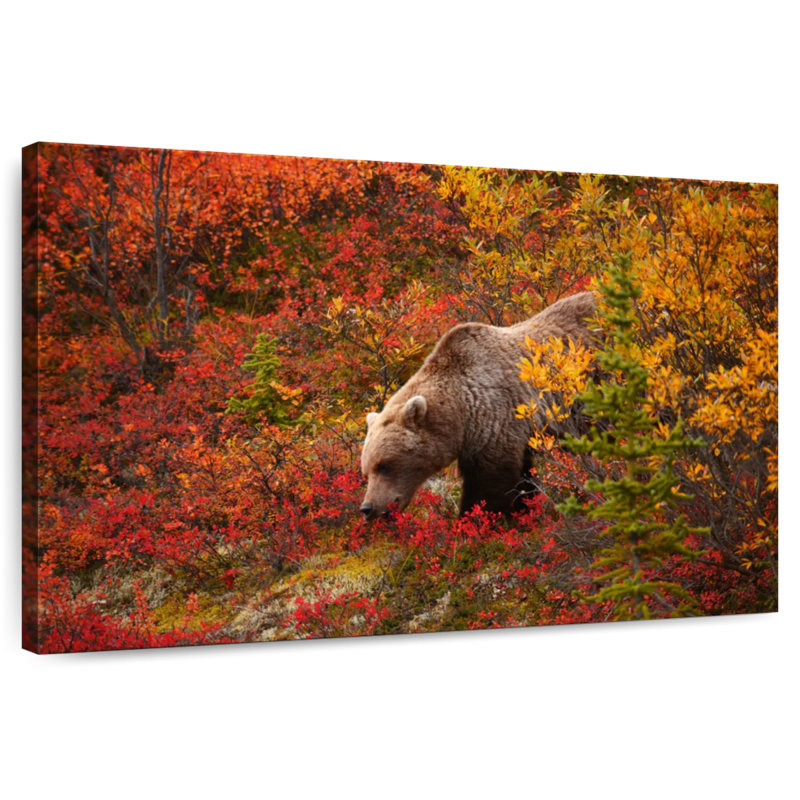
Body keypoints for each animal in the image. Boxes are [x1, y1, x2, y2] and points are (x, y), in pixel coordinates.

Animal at [359, 290, 597, 519]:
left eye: (385, 465)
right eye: (366, 470)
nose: (367, 508)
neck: (461, 410)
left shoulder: (495, 421)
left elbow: (490, 487)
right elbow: (523, 480)